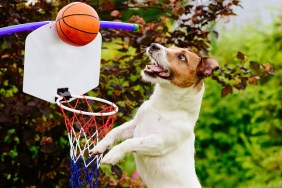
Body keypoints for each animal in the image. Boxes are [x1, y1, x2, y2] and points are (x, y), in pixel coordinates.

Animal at [91, 43, 219, 187]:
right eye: (171, 47)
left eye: (182, 57)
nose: (154, 45)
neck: (162, 107)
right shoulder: (134, 125)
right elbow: (114, 131)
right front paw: (100, 146)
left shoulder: (158, 143)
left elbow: (130, 142)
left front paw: (113, 154)